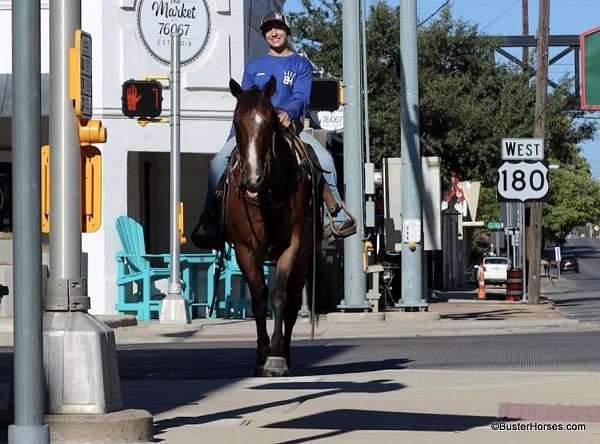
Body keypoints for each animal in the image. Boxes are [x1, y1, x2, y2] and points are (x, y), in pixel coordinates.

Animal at [224, 78, 318, 376]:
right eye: (236, 121)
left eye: (268, 123)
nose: (252, 178)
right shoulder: (245, 249)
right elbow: (258, 299)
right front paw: (260, 355)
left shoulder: (292, 247)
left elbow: (279, 298)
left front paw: (275, 356)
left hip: (303, 257)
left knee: (292, 305)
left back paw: (285, 353)